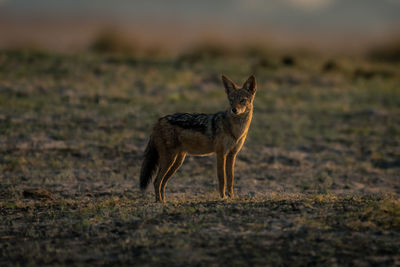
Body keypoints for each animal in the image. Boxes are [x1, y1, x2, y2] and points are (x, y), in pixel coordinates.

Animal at [139, 74, 256, 202]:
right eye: (231, 100)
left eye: (242, 100)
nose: (234, 110)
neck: (236, 129)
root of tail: (158, 121)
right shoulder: (221, 154)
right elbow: (222, 178)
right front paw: (223, 197)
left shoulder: (232, 154)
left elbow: (231, 178)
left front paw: (231, 197)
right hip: (169, 160)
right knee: (156, 181)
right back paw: (159, 202)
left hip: (177, 162)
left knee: (162, 182)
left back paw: (163, 201)